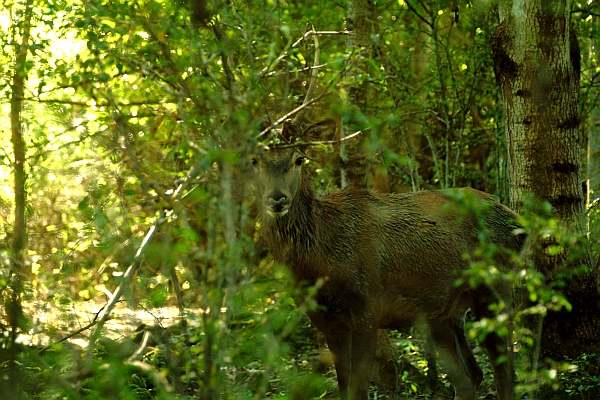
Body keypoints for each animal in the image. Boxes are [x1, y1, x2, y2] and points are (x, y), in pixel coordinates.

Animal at [251, 119, 524, 400]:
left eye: (299, 159)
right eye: (254, 160)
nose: (277, 198)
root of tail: (518, 222)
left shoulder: (367, 308)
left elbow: (358, 389)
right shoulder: (326, 322)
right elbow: (343, 387)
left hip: (493, 289)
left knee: (505, 372)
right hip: (444, 312)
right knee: (470, 376)